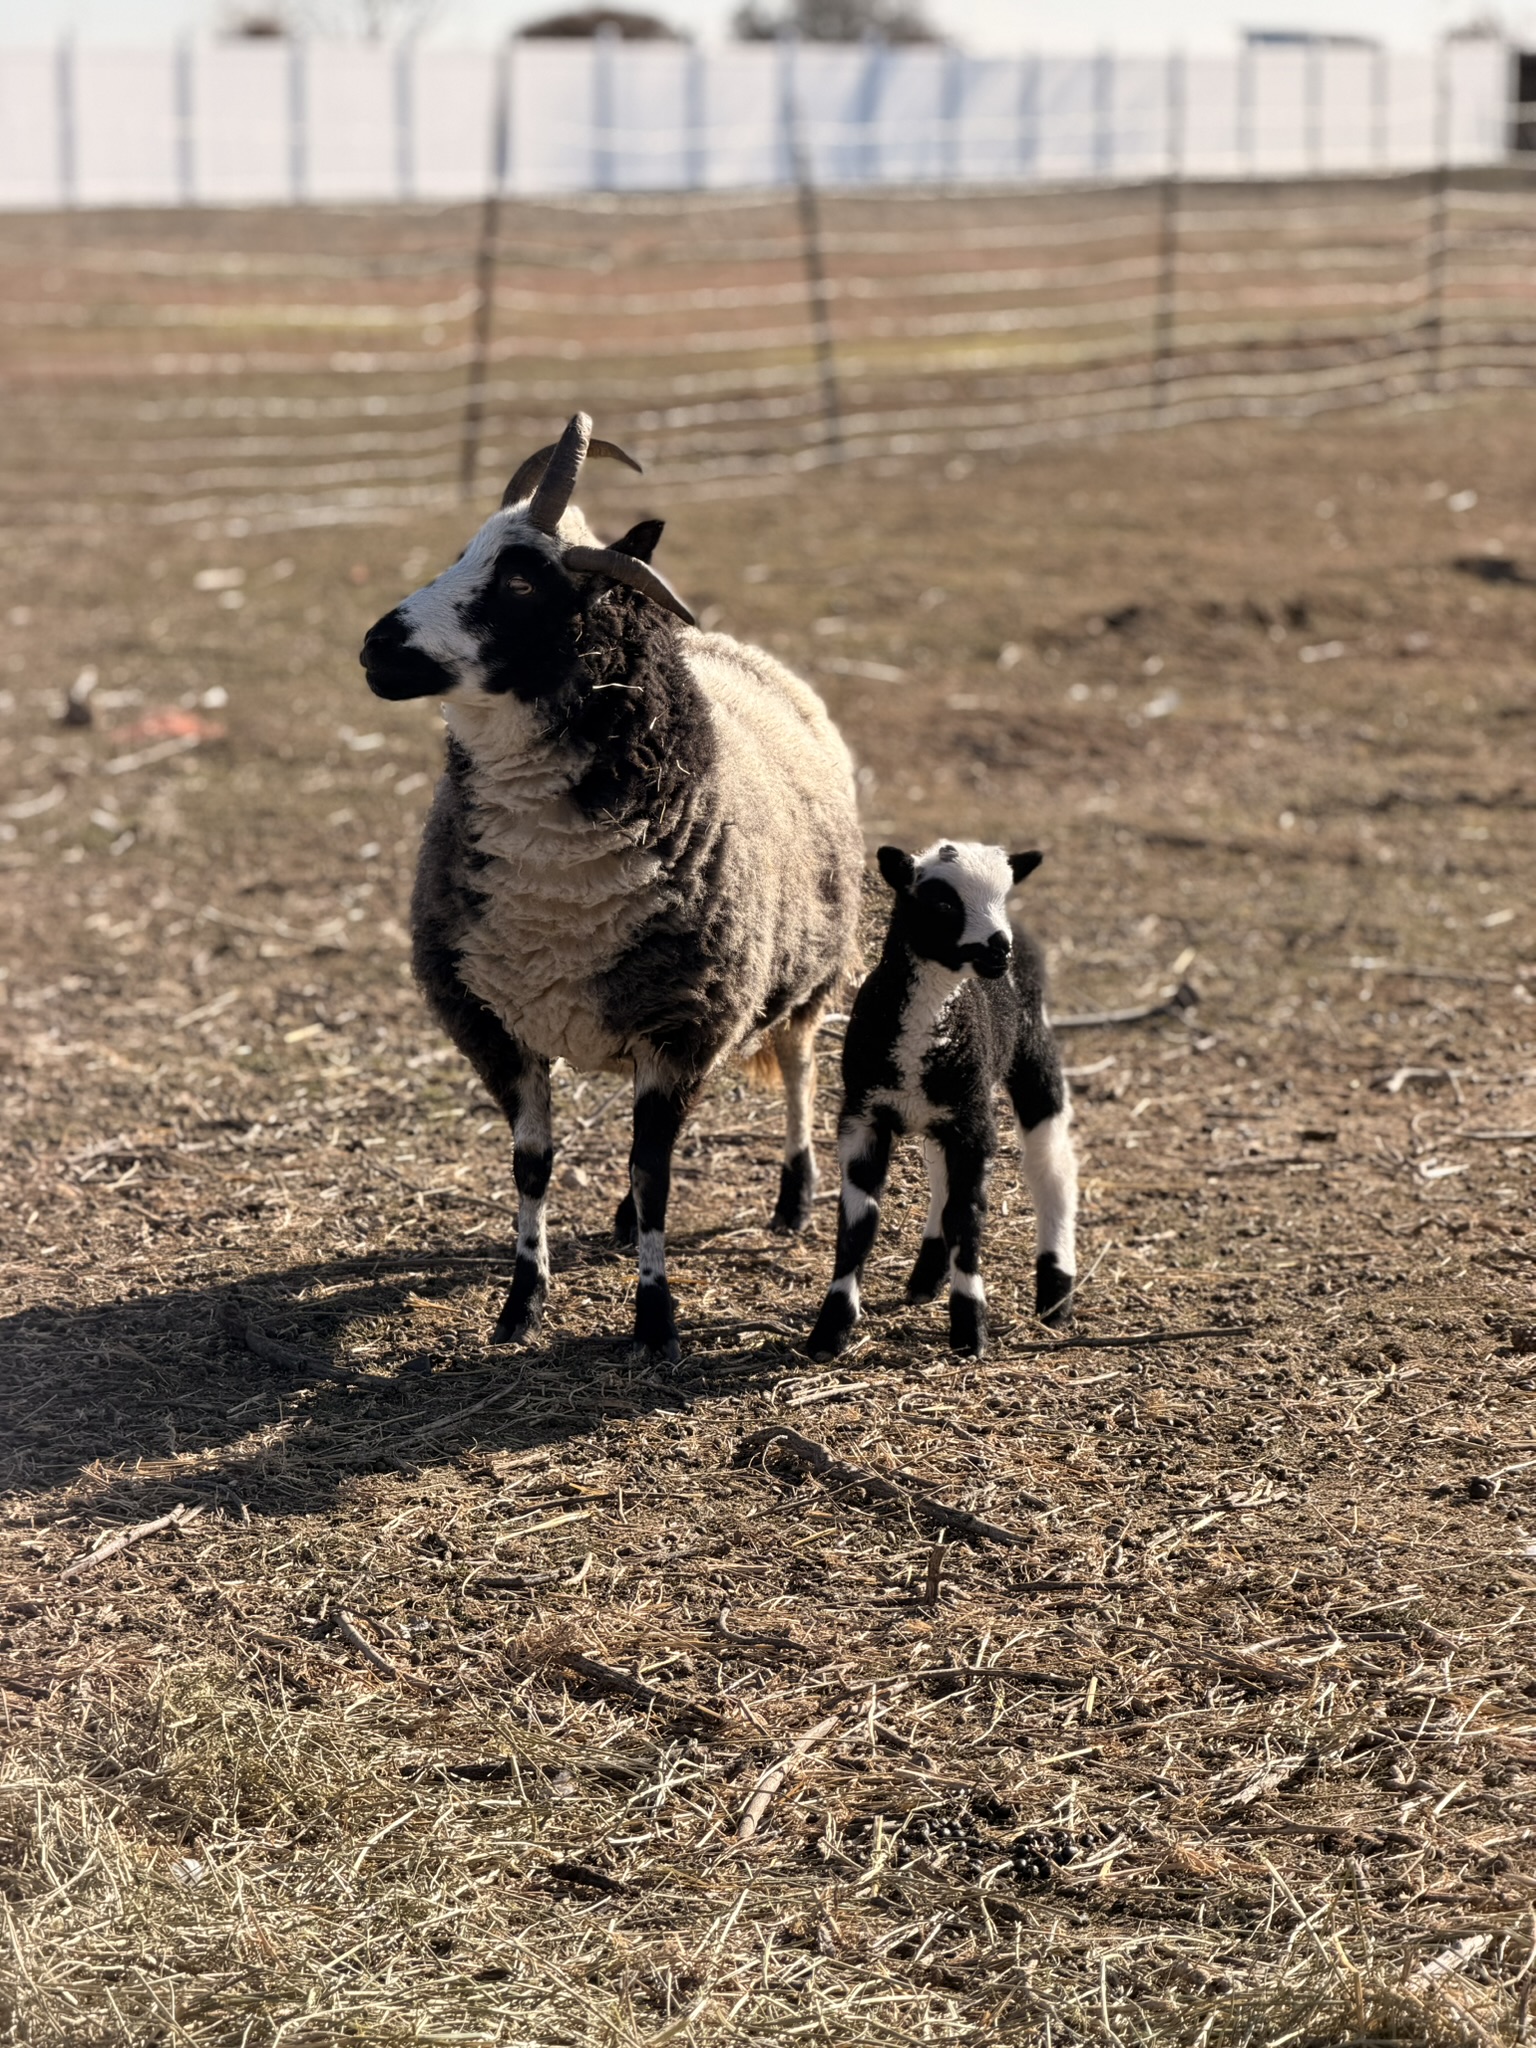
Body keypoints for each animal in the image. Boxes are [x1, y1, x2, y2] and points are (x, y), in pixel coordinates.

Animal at [360, 413, 863, 1361]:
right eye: (464, 550)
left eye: (522, 581)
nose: (375, 648)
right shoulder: (495, 1024)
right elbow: (537, 1165)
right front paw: (522, 1305)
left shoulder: (685, 1024)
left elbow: (658, 1171)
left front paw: (656, 1321)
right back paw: (630, 1224)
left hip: (800, 977)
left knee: (798, 1068)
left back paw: (794, 1199)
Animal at [805, 839, 1078, 1362]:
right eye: (943, 902)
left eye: (1004, 893)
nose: (998, 947)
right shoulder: (862, 1116)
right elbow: (858, 1225)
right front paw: (828, 1333)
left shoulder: (973, 1124)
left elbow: (966, 1217)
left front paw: (970, 1331)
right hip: (940, 1108)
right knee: (941, 1179)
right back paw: (926, 1277)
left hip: (1030, 1050)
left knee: (1050, 1165)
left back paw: (1055, 1296)